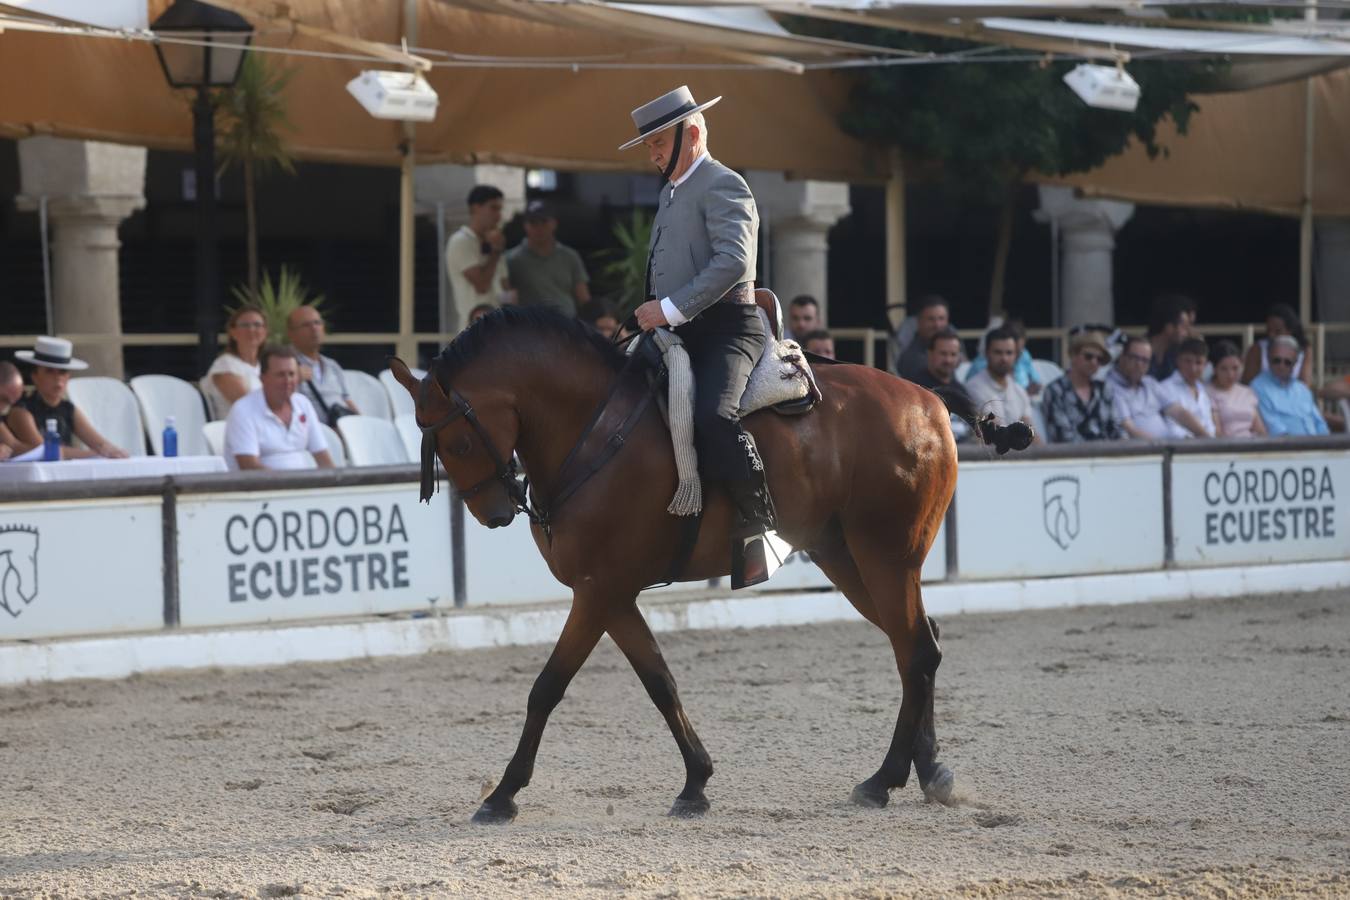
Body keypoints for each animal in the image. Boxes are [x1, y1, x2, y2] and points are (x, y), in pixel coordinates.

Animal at [386, 307, 988, 825]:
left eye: (459, 441)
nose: (494, 514)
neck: (592, 430)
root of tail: (926, 398)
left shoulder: (597, 591)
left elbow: (548, 686)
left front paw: (503, 793)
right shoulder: (612, 594)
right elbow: (660, 681)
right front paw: (696, 783)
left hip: (886, 556)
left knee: (916, 651)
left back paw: (884, 779)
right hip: (846, 558)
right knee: (919, 645)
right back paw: (928, 771)